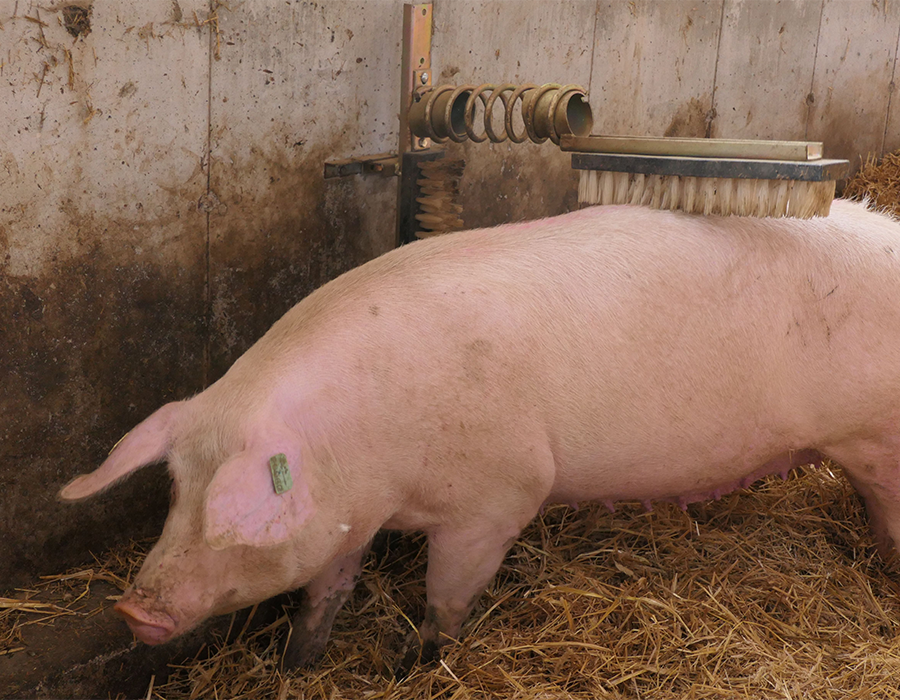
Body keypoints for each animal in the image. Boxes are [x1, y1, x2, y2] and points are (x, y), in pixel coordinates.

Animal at [60, 199, 900, 673]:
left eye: (239, 503)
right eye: (176, 488)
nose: (135, 611)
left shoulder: (498, 499)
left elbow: (446, 596)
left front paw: (410, 666)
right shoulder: (348, 514)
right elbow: (326, 589)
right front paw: (298, 665)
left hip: (876, 438)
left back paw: (887, 570)